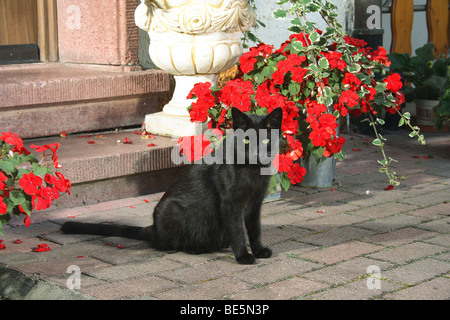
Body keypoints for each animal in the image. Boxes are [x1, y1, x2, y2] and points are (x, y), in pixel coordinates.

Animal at [61, 106, 284, 264]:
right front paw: (243, 256)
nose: (256, 153)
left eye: (265, 142)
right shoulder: (231, 204)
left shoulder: (255, 203)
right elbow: (238, 230)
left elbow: (255, 229)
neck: (253, 171)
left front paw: (259, 250)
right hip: (174, 210)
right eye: (246, 141)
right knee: (166, 244)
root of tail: (153, 228)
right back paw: (197, 247)